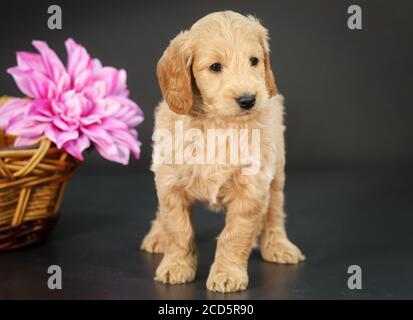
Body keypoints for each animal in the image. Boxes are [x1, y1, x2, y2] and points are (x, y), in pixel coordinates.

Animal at [140, 10, 304, 292]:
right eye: (215, 67)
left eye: (254, 61)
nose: (248, 99)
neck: (219, 124)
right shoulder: (171, 182)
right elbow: (178, 229)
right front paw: (176, 265)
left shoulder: (252, 187)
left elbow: (234, 235)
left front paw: (227, 273)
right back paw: (157, 236)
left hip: (277, 171)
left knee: (274, 211)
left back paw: (277, 244)